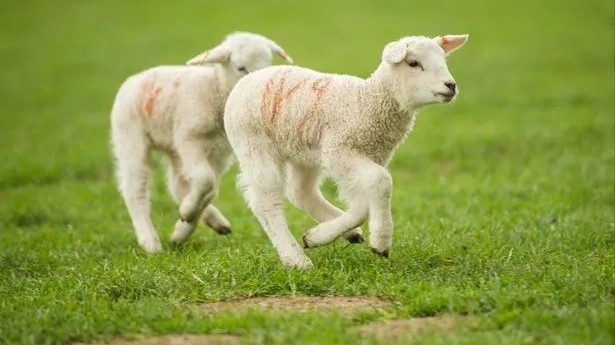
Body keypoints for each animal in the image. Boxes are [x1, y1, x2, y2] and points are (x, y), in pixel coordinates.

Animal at [110, 32, 294, 253]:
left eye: (269, 63)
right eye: (240, 67)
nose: (262, 88)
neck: (214, 90)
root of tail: (133, 79)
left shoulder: (220, 152)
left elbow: (210, 188)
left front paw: (185, 221)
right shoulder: (189, 140)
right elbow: (206, 181)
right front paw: (189, 213)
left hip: (173, 147)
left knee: (179, 184)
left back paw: (204, 224)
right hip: (130, 137)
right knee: (135, 189)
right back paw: (150, 242)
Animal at [224, 33, 470, 268]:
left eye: (443, 60)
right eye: (414, 63)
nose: (451, 86)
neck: (367, 101)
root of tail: (249, 78)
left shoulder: (367, 156)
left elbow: (362, 205)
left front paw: (318, 236)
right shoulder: (340, 151)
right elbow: (381, 182)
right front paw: (381, 242)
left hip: (304, 150)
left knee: (302, 191)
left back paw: (342, 233)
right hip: (254, 145)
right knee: (267, 203)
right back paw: (296, 260)